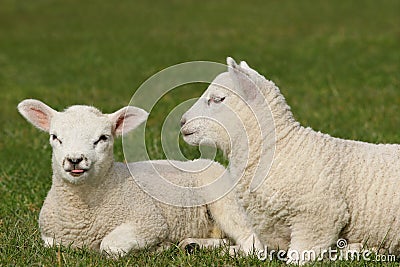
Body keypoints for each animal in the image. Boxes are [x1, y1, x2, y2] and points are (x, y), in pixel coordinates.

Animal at [18, 99, 262, 258]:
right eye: (55, 137)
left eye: (103, 138)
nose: (75, 160)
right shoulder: (50, 237)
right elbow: (52, 245)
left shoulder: (150, 223)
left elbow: (110, 246)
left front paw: (160, 248)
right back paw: (192, 245)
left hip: (226, 200)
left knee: (253, 244)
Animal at [181, 57, 400, 264]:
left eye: (218, 99)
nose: (182, 122)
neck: (283, 151)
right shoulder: (268, 232)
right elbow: (251, 249)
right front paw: (198, 247)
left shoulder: (319, 219)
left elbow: (298, 258)